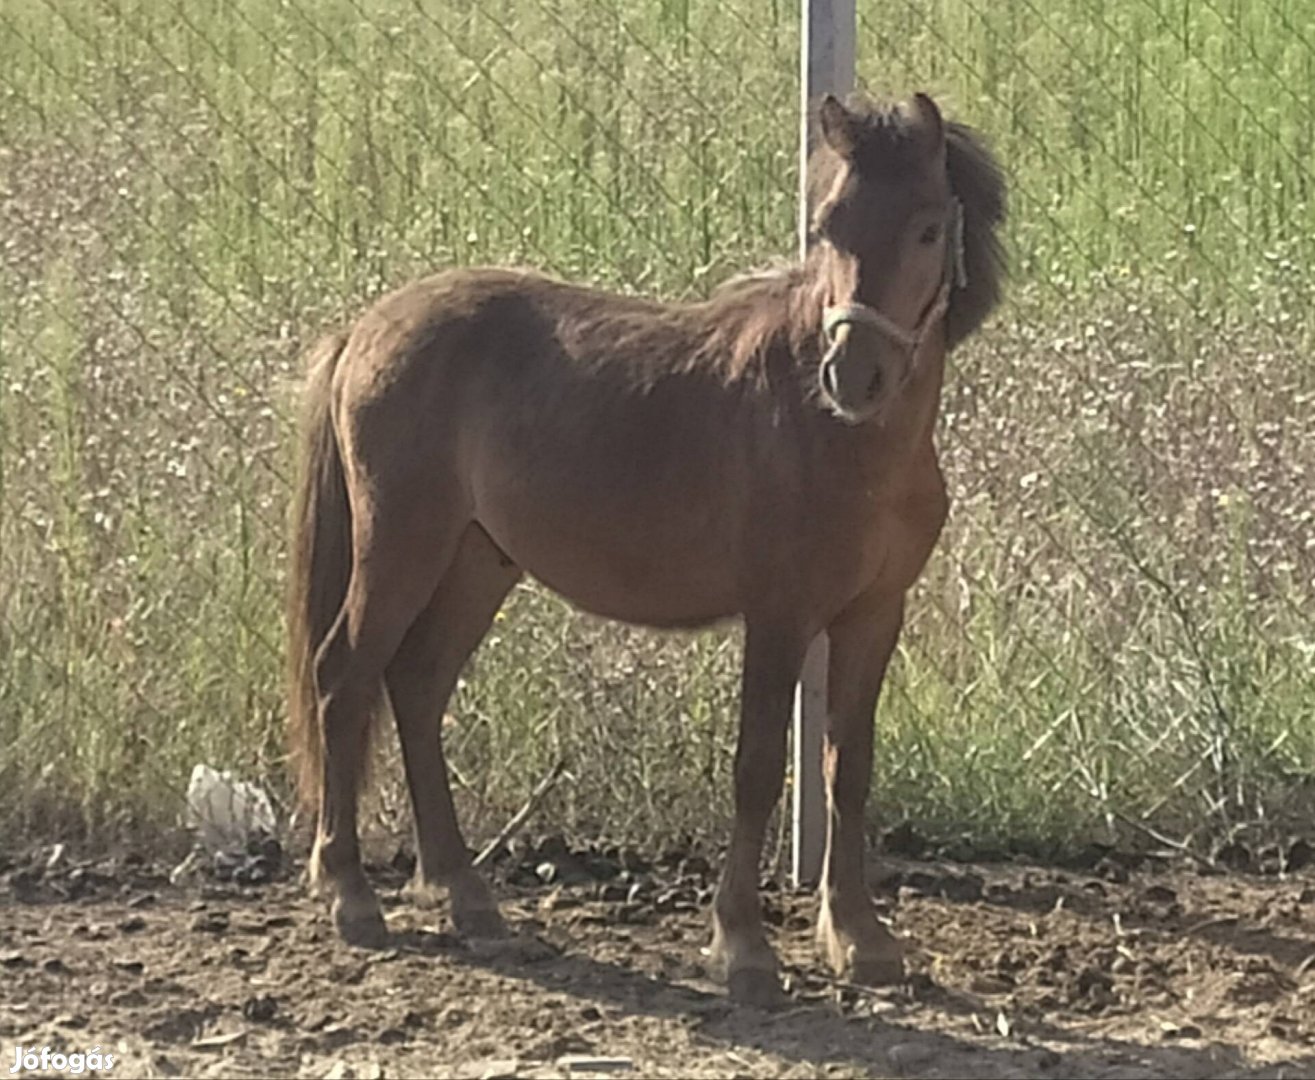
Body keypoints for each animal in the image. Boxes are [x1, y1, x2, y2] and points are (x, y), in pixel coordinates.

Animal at [287, 90, 1004, 1005]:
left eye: (925, 229)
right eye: (826, 225)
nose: (853, 375)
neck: (840, 437)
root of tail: (367, 327)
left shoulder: (874, 615)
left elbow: (848, 766)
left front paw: (858, 940)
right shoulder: (779, 614)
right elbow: (757, 765)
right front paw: (742, 946)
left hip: (477, 562)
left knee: (414, 687)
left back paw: (465, 894)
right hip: (400, 550)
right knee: (343, 677)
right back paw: (350, 892)